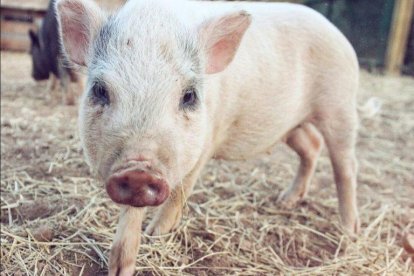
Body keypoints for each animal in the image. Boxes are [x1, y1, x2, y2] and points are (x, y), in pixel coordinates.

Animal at [56, 0, 360, 272]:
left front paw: (156, 234)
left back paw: (349, 233)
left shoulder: (206, 141)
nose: (139, 171)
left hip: (340, 106)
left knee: (344, 167)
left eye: (189, 95)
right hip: (291, 126)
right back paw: (285, 200)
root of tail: (338, 33)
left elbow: (179, 194)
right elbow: (130, 219)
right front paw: (120, 266)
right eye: (99, 90)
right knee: (312, 145)